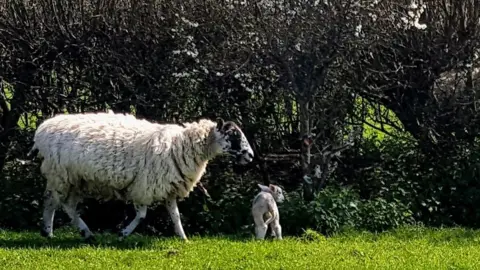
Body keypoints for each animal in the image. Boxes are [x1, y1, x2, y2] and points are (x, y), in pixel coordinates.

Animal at [29, 110, 255, 242]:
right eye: (234, 135)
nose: (251, 156)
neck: (181, 145)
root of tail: (42, 129)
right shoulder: (144, 186)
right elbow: (142, 215)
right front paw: (123, 234)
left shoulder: (169, 187)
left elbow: (175, 215)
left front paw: (183, 238)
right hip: (62, 175)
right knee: (61, 204)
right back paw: (77, 232)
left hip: (73, 179)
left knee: (56, 202)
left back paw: (55, 232)